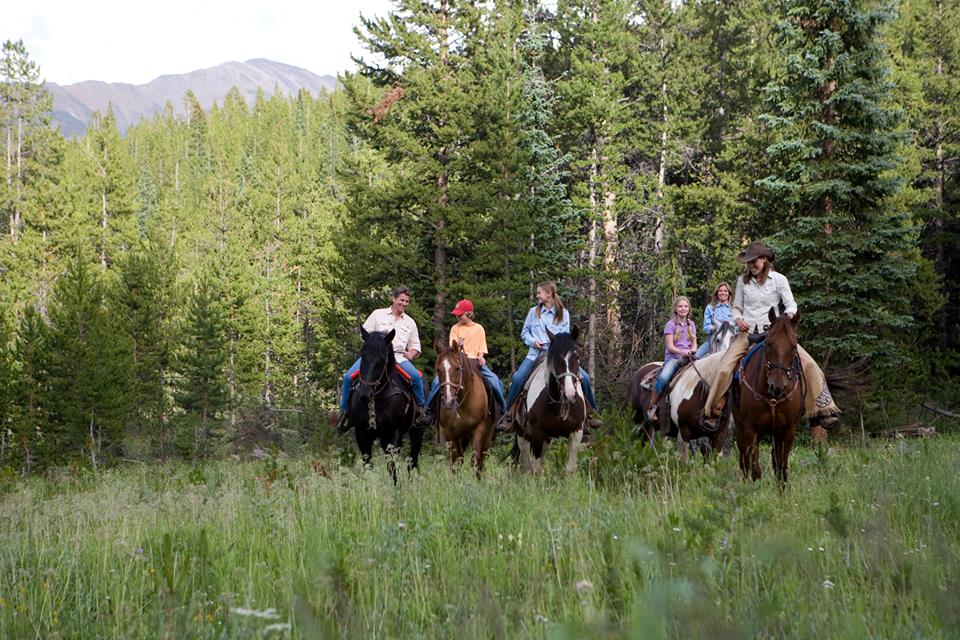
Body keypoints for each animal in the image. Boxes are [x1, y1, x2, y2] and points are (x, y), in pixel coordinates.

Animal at [344, 328, 420, 482]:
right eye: (363, 355)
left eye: (382, 359)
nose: (365, 393)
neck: (377, 398)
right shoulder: (361, 433)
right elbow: (368, 465)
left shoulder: (394, 433)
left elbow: (392, 466)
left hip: (417, 431)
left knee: (412, 461)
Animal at [436, 338, 496, 478]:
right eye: (438, 370)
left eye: (457, 369)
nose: (448, 401)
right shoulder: (449, 433)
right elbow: (455, 462)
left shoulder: (479, 429)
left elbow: (475, 460)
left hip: (488, 436)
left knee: (482, 459)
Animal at [512, 330, 588, 476]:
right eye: (556, 359)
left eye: (577, 355)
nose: (570, 393)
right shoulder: (537, 433)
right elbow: (536, 469)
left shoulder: (576, 432)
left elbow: (570, 469)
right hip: (523, 434)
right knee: (526, 464)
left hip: (547, 439)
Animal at [732, 310, 808, 484]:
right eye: (768, 343)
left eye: (793, 346)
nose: (777, 386)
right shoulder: (751, 429)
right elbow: (755, 469)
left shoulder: (788, 430)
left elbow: (782, 467)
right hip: (740, 427)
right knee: (744, 461)